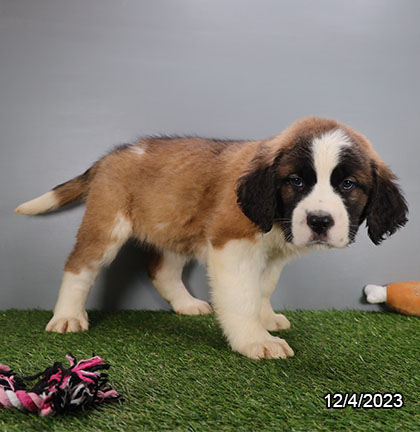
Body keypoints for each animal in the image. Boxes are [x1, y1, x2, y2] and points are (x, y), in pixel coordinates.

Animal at [15, 116, 406, 360]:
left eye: (348, 185)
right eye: (295, 181)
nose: (320, 220)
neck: (275, 216)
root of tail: (112, 155)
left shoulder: (272, 256)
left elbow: (262, 289)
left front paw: (265, 318)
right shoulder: (233, 246)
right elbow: (242, 297)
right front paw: (255, 340)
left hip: (175, 227)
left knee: (162, 271)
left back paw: (186, 304)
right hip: (107, 224)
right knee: (80, 266)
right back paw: (68, 316)